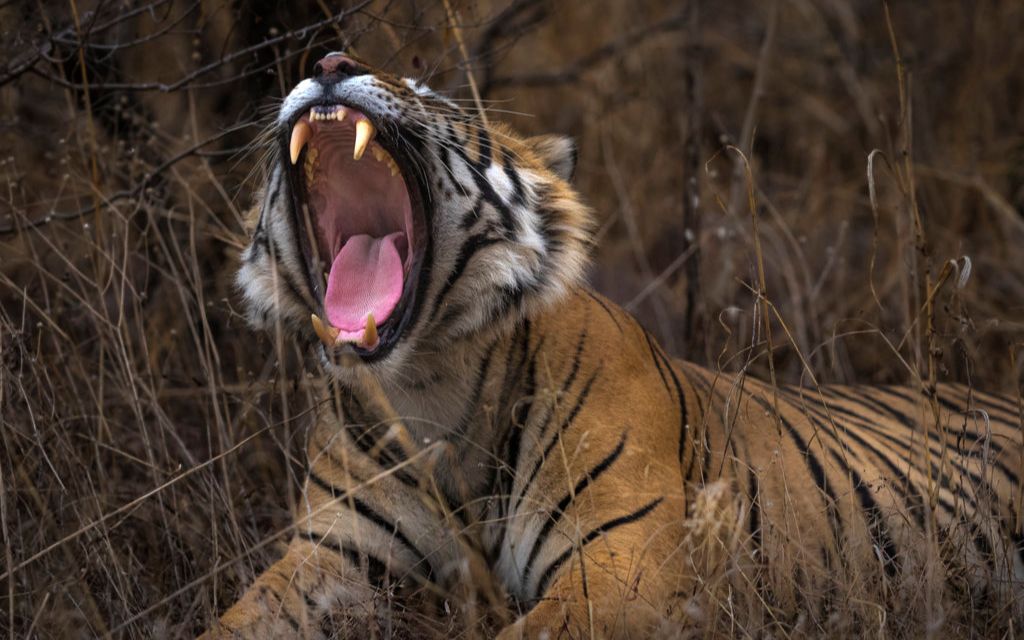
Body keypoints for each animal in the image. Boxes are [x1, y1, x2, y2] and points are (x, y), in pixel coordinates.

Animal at [203, 52, 1019, 634]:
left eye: (430, 91)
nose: (330, 61)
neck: (429, 383)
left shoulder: (624, 564)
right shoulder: (329, 557)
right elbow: (232, 622)